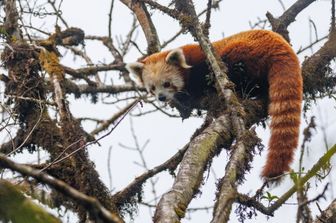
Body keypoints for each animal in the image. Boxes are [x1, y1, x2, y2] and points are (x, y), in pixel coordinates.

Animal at [126, 29, 302, 179]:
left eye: (167, 84)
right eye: (152, 88)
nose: (161, 97)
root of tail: (281, 45)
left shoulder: (202, 65)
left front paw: (187, 100)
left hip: (245, 53)